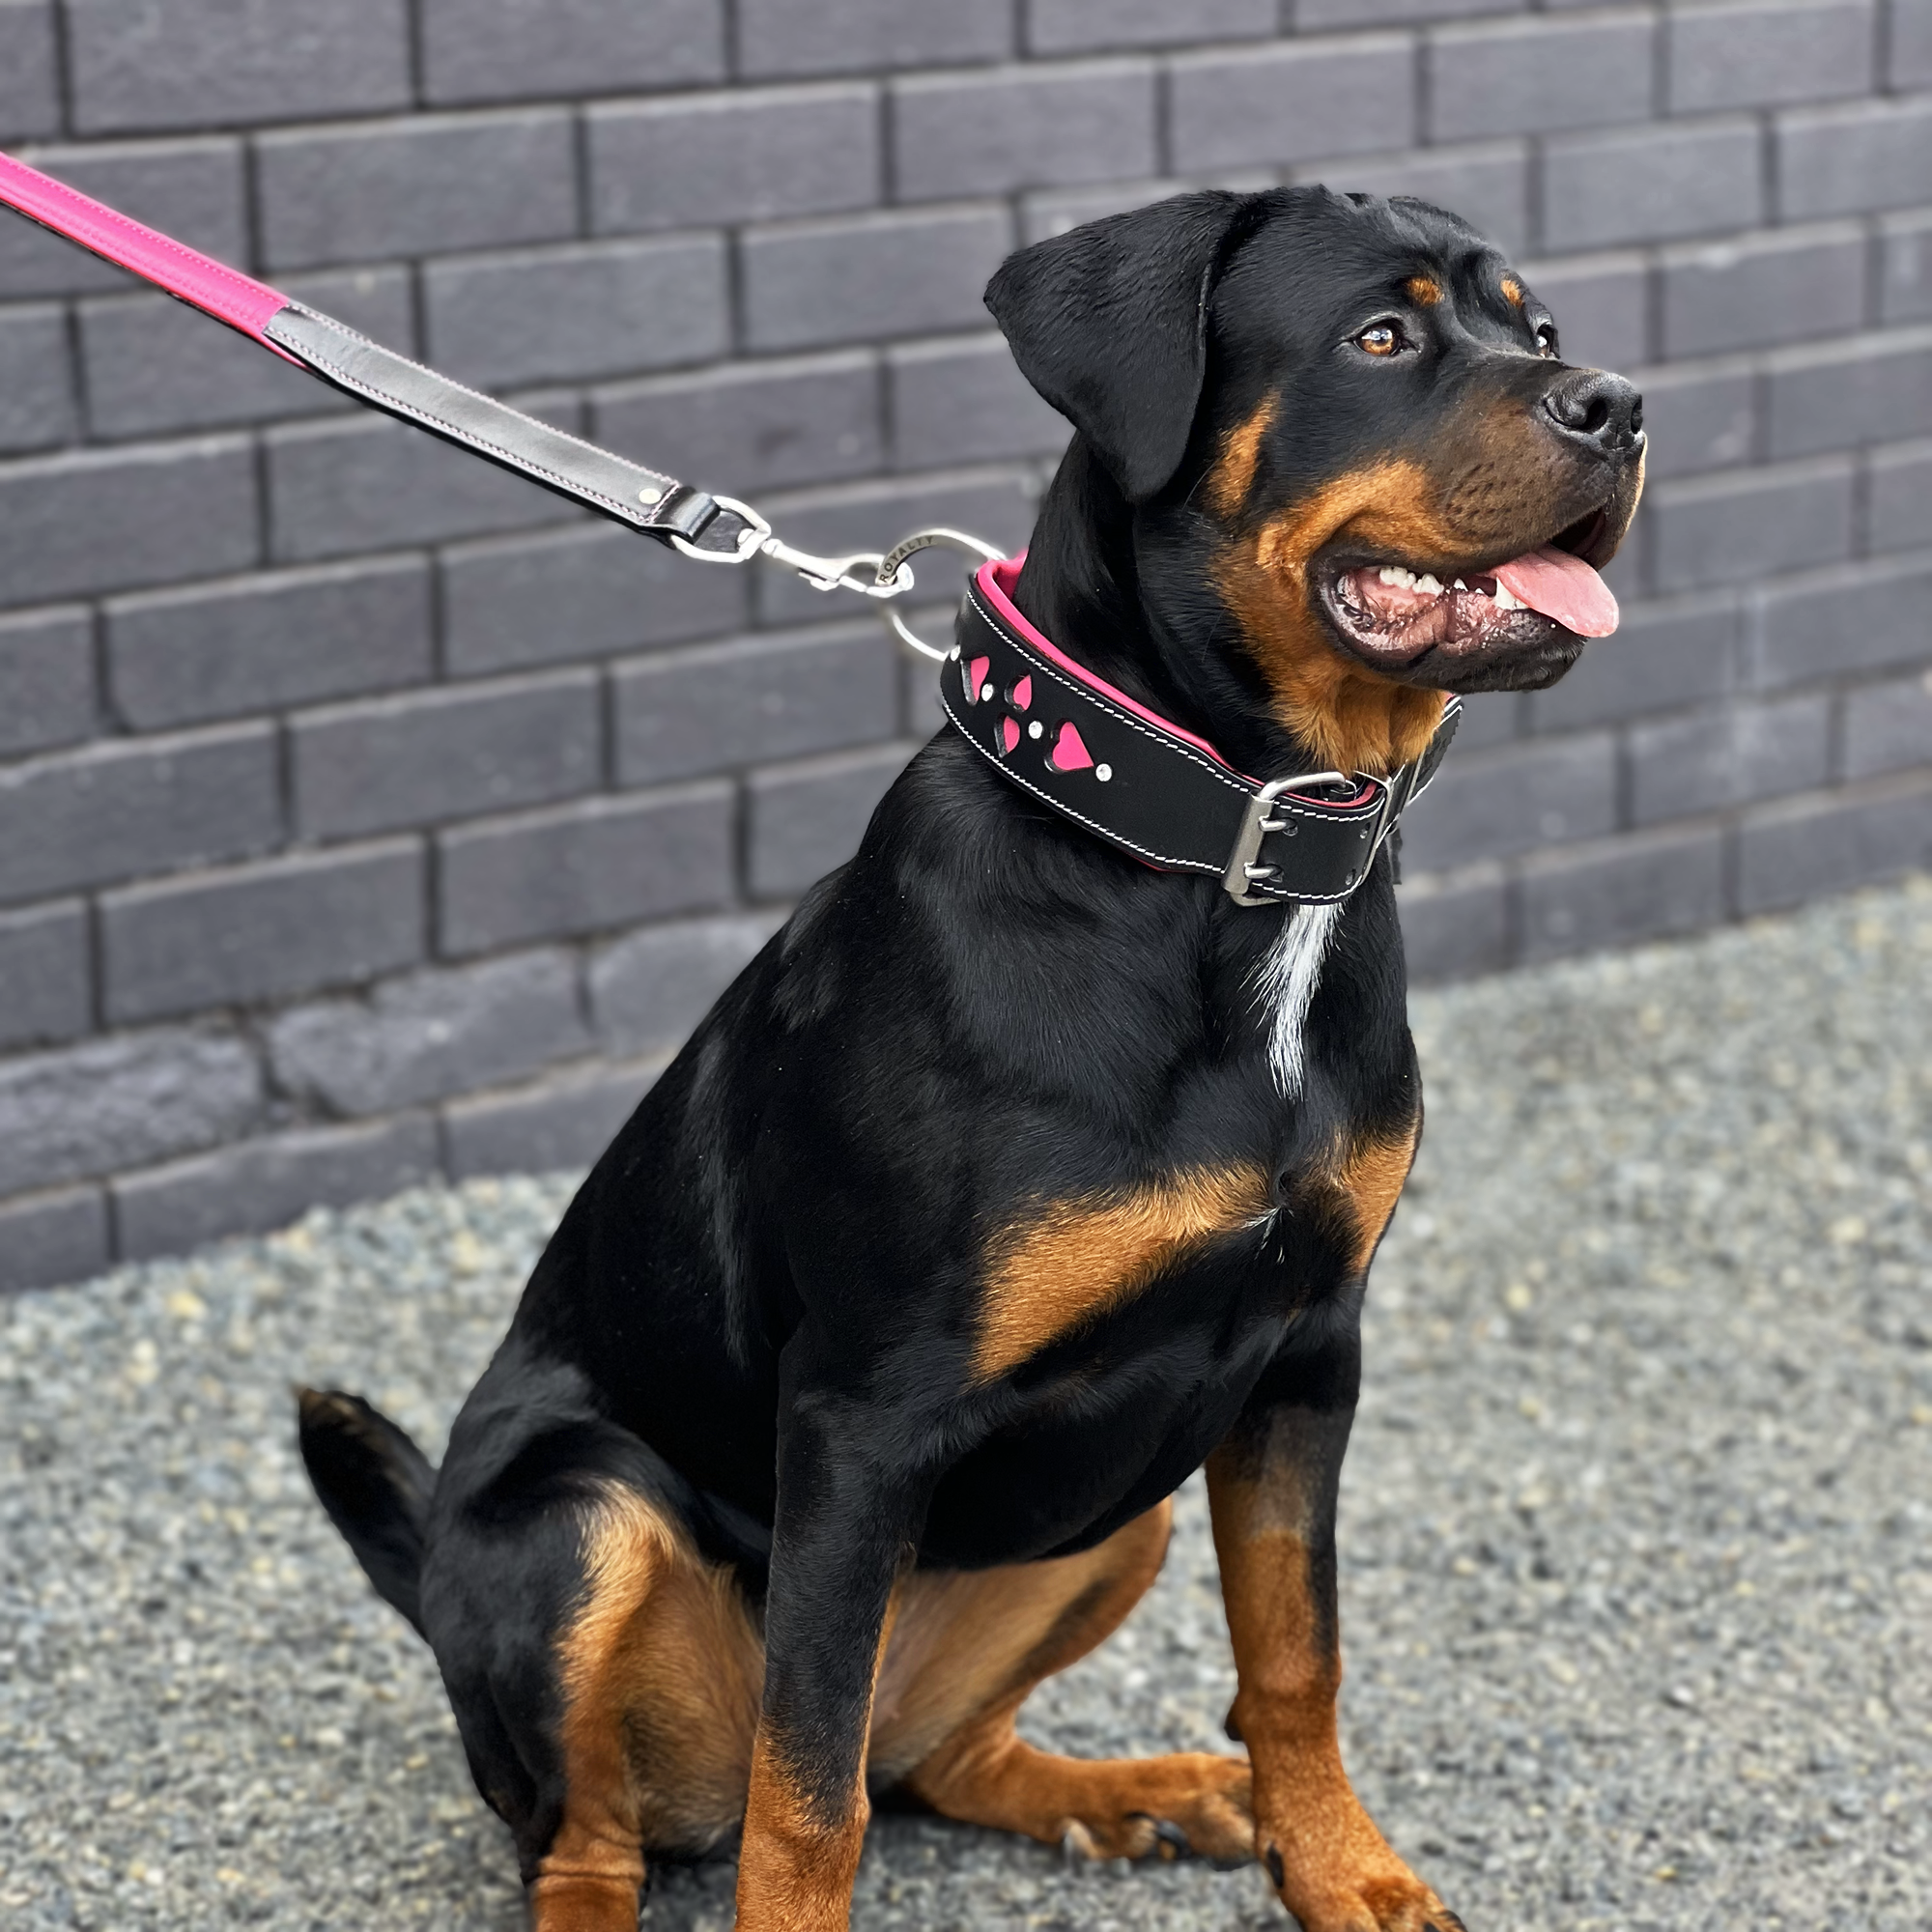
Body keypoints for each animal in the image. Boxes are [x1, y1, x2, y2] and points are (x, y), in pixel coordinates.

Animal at [301, 185, 1646, 1932]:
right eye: (1380, 335)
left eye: (1535, 328)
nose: (1619, 404)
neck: (1226, 863)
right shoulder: (862, 1416)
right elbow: (807, 1809)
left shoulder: (1306, 1356)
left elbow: (1297, 1657)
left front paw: (1340, 1866)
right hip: (579, 1525)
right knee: (607, 1829)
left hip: (1123, 1510)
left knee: (930, 1761)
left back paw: (1128, 1793)